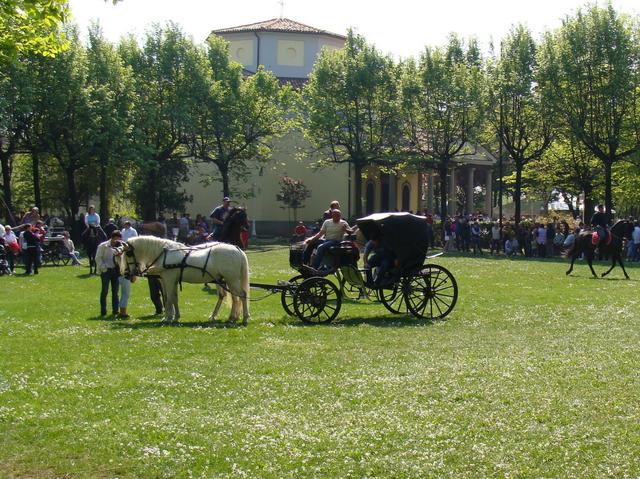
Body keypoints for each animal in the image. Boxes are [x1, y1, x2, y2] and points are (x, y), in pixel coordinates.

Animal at [115, 237, 250, 326]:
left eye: (128, 253)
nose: (127, 274)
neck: (163, 254)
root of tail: (238, 250)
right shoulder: (170, 280)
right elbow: (173, 298)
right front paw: (175, 317)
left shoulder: (169, 279)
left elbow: (168, 298)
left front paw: (168, 318)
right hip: (228, 280)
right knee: (234, 297)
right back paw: (231, 317)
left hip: (232, 279)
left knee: (242, 295)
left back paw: (244, 318)